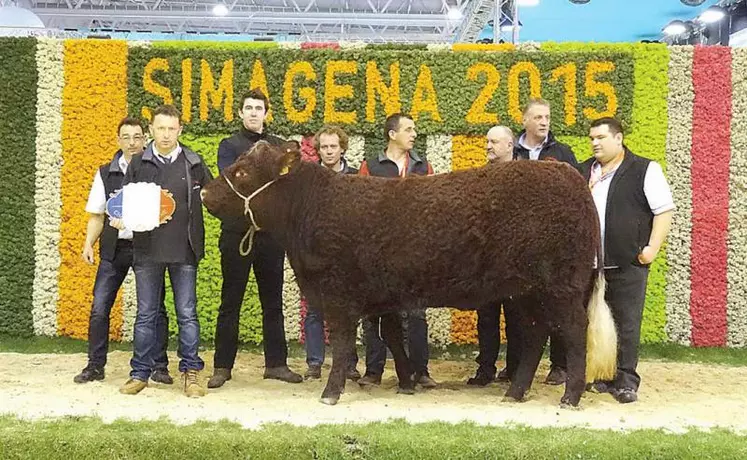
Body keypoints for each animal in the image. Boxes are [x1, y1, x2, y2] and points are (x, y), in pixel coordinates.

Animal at [202, 141, 616, 406]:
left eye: (241, 172)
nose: (204, 193)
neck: (313, 206)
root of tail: (568, 175)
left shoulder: (339, 296)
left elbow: (343, 345)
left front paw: (331, 393)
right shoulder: (382, 293)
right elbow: (392, 336)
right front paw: (405, 383)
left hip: (560, 286)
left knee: (573, 332)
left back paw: (570, 396)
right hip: (528, 291)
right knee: (534, 335)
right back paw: (513, 393)